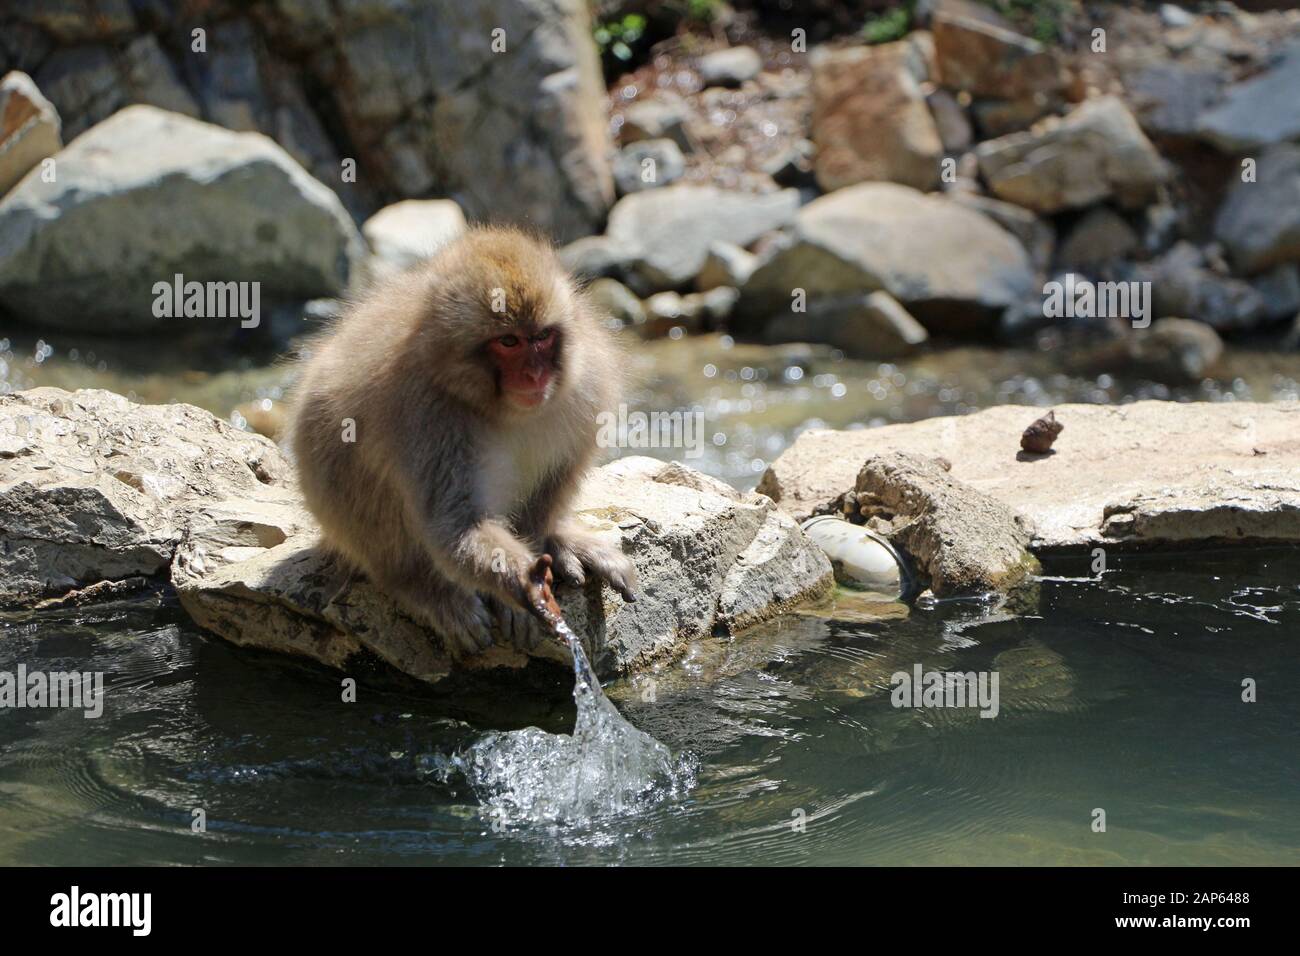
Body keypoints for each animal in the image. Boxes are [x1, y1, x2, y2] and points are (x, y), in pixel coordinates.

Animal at [292, 227, 642, 655]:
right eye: (508, 342)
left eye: (542, 337)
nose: (535, 376)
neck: (503, 410)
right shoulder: (429, 415)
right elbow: (454, 525)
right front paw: (523, 585)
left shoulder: (588, 380)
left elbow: (560, 473)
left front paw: (542, 552)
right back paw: (417, 585)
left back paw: (560, 538)